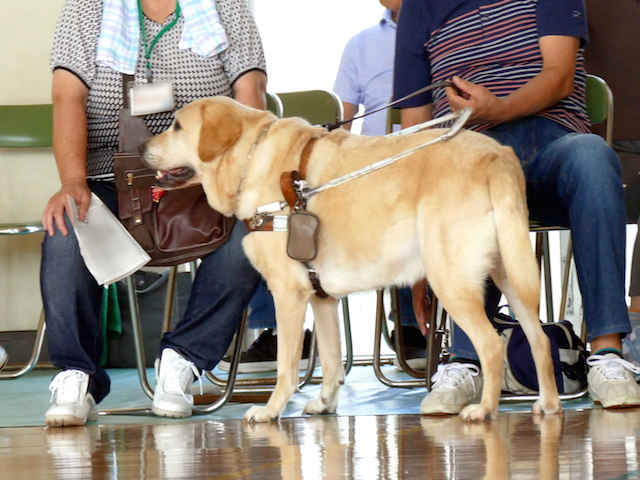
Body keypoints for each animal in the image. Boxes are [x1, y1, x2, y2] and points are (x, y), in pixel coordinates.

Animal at [144, 95, 560, 422]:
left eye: (177, 125)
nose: (144, 146)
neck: (250, 160)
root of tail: (497, 155)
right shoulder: (322, 298)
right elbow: (330, 360)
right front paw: (325, 403)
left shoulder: (288, 293)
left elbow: (286, 367)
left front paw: (271, 410)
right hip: (510, 274)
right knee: (539, 339)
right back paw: (550, 404)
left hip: (451, 281)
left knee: (491, 346)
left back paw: (485, 410)